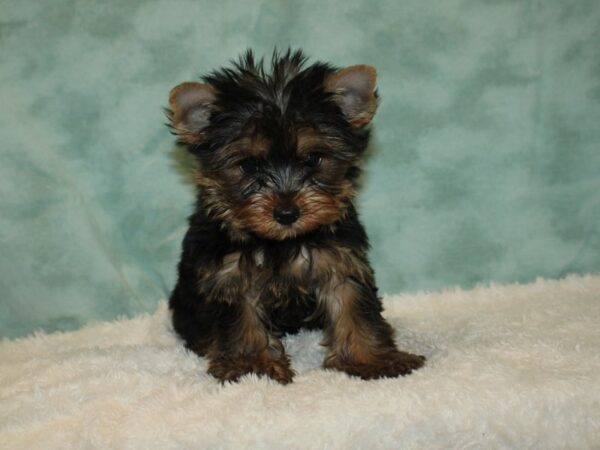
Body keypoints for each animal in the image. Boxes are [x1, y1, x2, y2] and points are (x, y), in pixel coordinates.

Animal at [166, 49, 424, 384]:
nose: (287, 212)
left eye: (313, 158)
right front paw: (252, 365)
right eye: (249, 165)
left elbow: (354, 306)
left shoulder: (340, 259)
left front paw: (372, 359)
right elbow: (242, 319)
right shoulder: (229, 274)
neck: (281, 242)